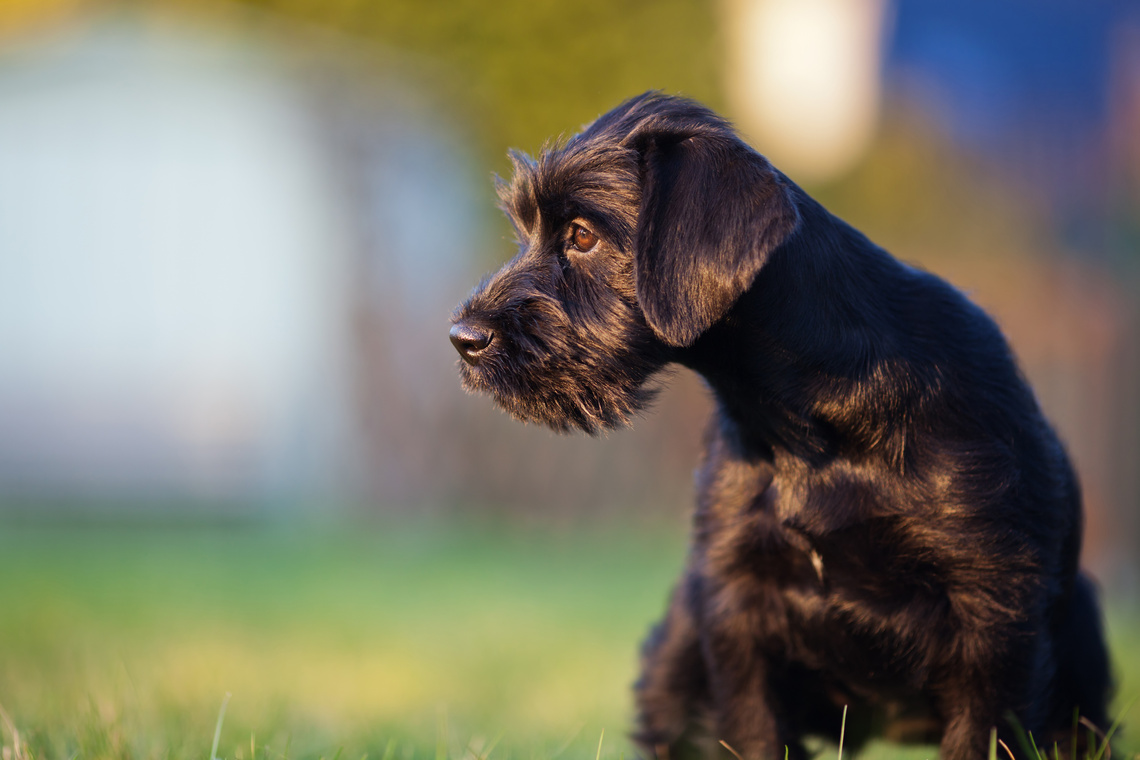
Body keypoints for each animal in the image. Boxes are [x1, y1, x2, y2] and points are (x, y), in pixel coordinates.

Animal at [449, 93, 1108, 760]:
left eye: (581, 235)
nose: (463, 338)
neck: (809, 430)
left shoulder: (993, 620)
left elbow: (983, 731)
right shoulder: (737, 613)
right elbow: (754, 732)